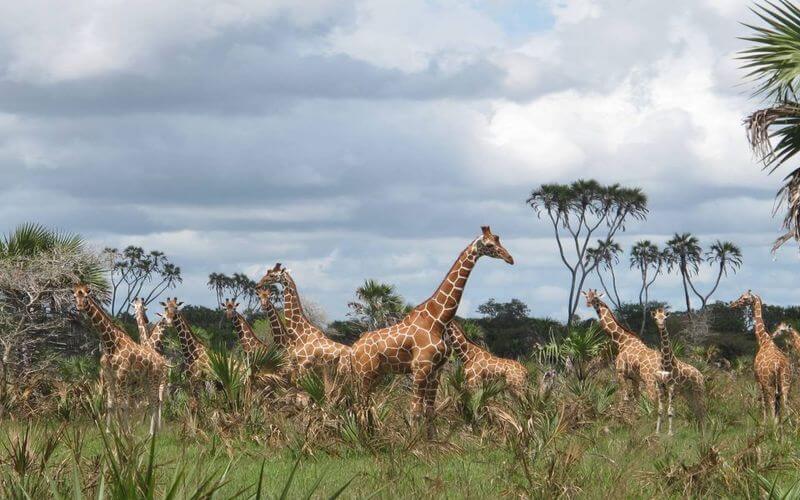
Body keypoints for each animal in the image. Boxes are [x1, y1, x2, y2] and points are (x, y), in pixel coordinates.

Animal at [75, 286, 169, 434]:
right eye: (74, 296)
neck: (111, 343)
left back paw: (153, 432)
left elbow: (124, 404)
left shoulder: (123, 376)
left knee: (156, 401)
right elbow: (112, 404)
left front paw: (125, 432)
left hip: (156, 379)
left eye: (85, 297)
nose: (79, 307)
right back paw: (152, 431)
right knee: (153, 401)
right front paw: (111, 432)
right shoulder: (112, 376)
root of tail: (161, 361)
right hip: (145, 380)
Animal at [346, 227, 516, 434]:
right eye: (490, 244)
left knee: (365, 405)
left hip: (376, 374)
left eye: (499, 240)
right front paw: (414, 441)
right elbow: (415, 410)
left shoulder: (436, 369)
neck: (438, 319)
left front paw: (430, 440)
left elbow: (429, 410)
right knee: (360, 405)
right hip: (364, 374)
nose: (510, 258)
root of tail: (353, 349)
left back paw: (370, 435)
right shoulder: (421, 367)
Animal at [580, 292, 708, 420]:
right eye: (587, 296)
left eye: (594, 297)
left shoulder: (621, 373)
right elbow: (636, 400)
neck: (622, 340)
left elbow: (625, 398)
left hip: (653, 382)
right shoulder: (634, 378)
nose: (588, 303)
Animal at [728, 292, 792, 424]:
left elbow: (763, 403)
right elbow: (777, 408)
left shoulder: (758, 380)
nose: (732, 305)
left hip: (769, 384)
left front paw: (764, 422)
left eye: (745, 298)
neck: (763, 340)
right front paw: (778, 424)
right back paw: (789, 426)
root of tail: (778, 366)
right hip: (785, 382)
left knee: (771, 403)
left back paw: (773, 425)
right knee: (785, 403)